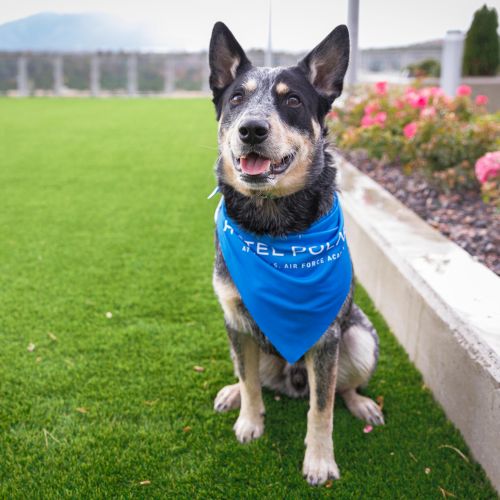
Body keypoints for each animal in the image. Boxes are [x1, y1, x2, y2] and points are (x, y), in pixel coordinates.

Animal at [207, 21, 382, 486]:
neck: (274, 228)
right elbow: (251, 384)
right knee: (250, 375)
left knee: (342, 388)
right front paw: (249, 421)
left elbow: (322, 409)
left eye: (292, 100)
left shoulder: (327, 339)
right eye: (236, 98)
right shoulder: (235, 319)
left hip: (359, 338)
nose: (251, 129)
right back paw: (232, 392)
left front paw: (320, 461)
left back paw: (362, 403)